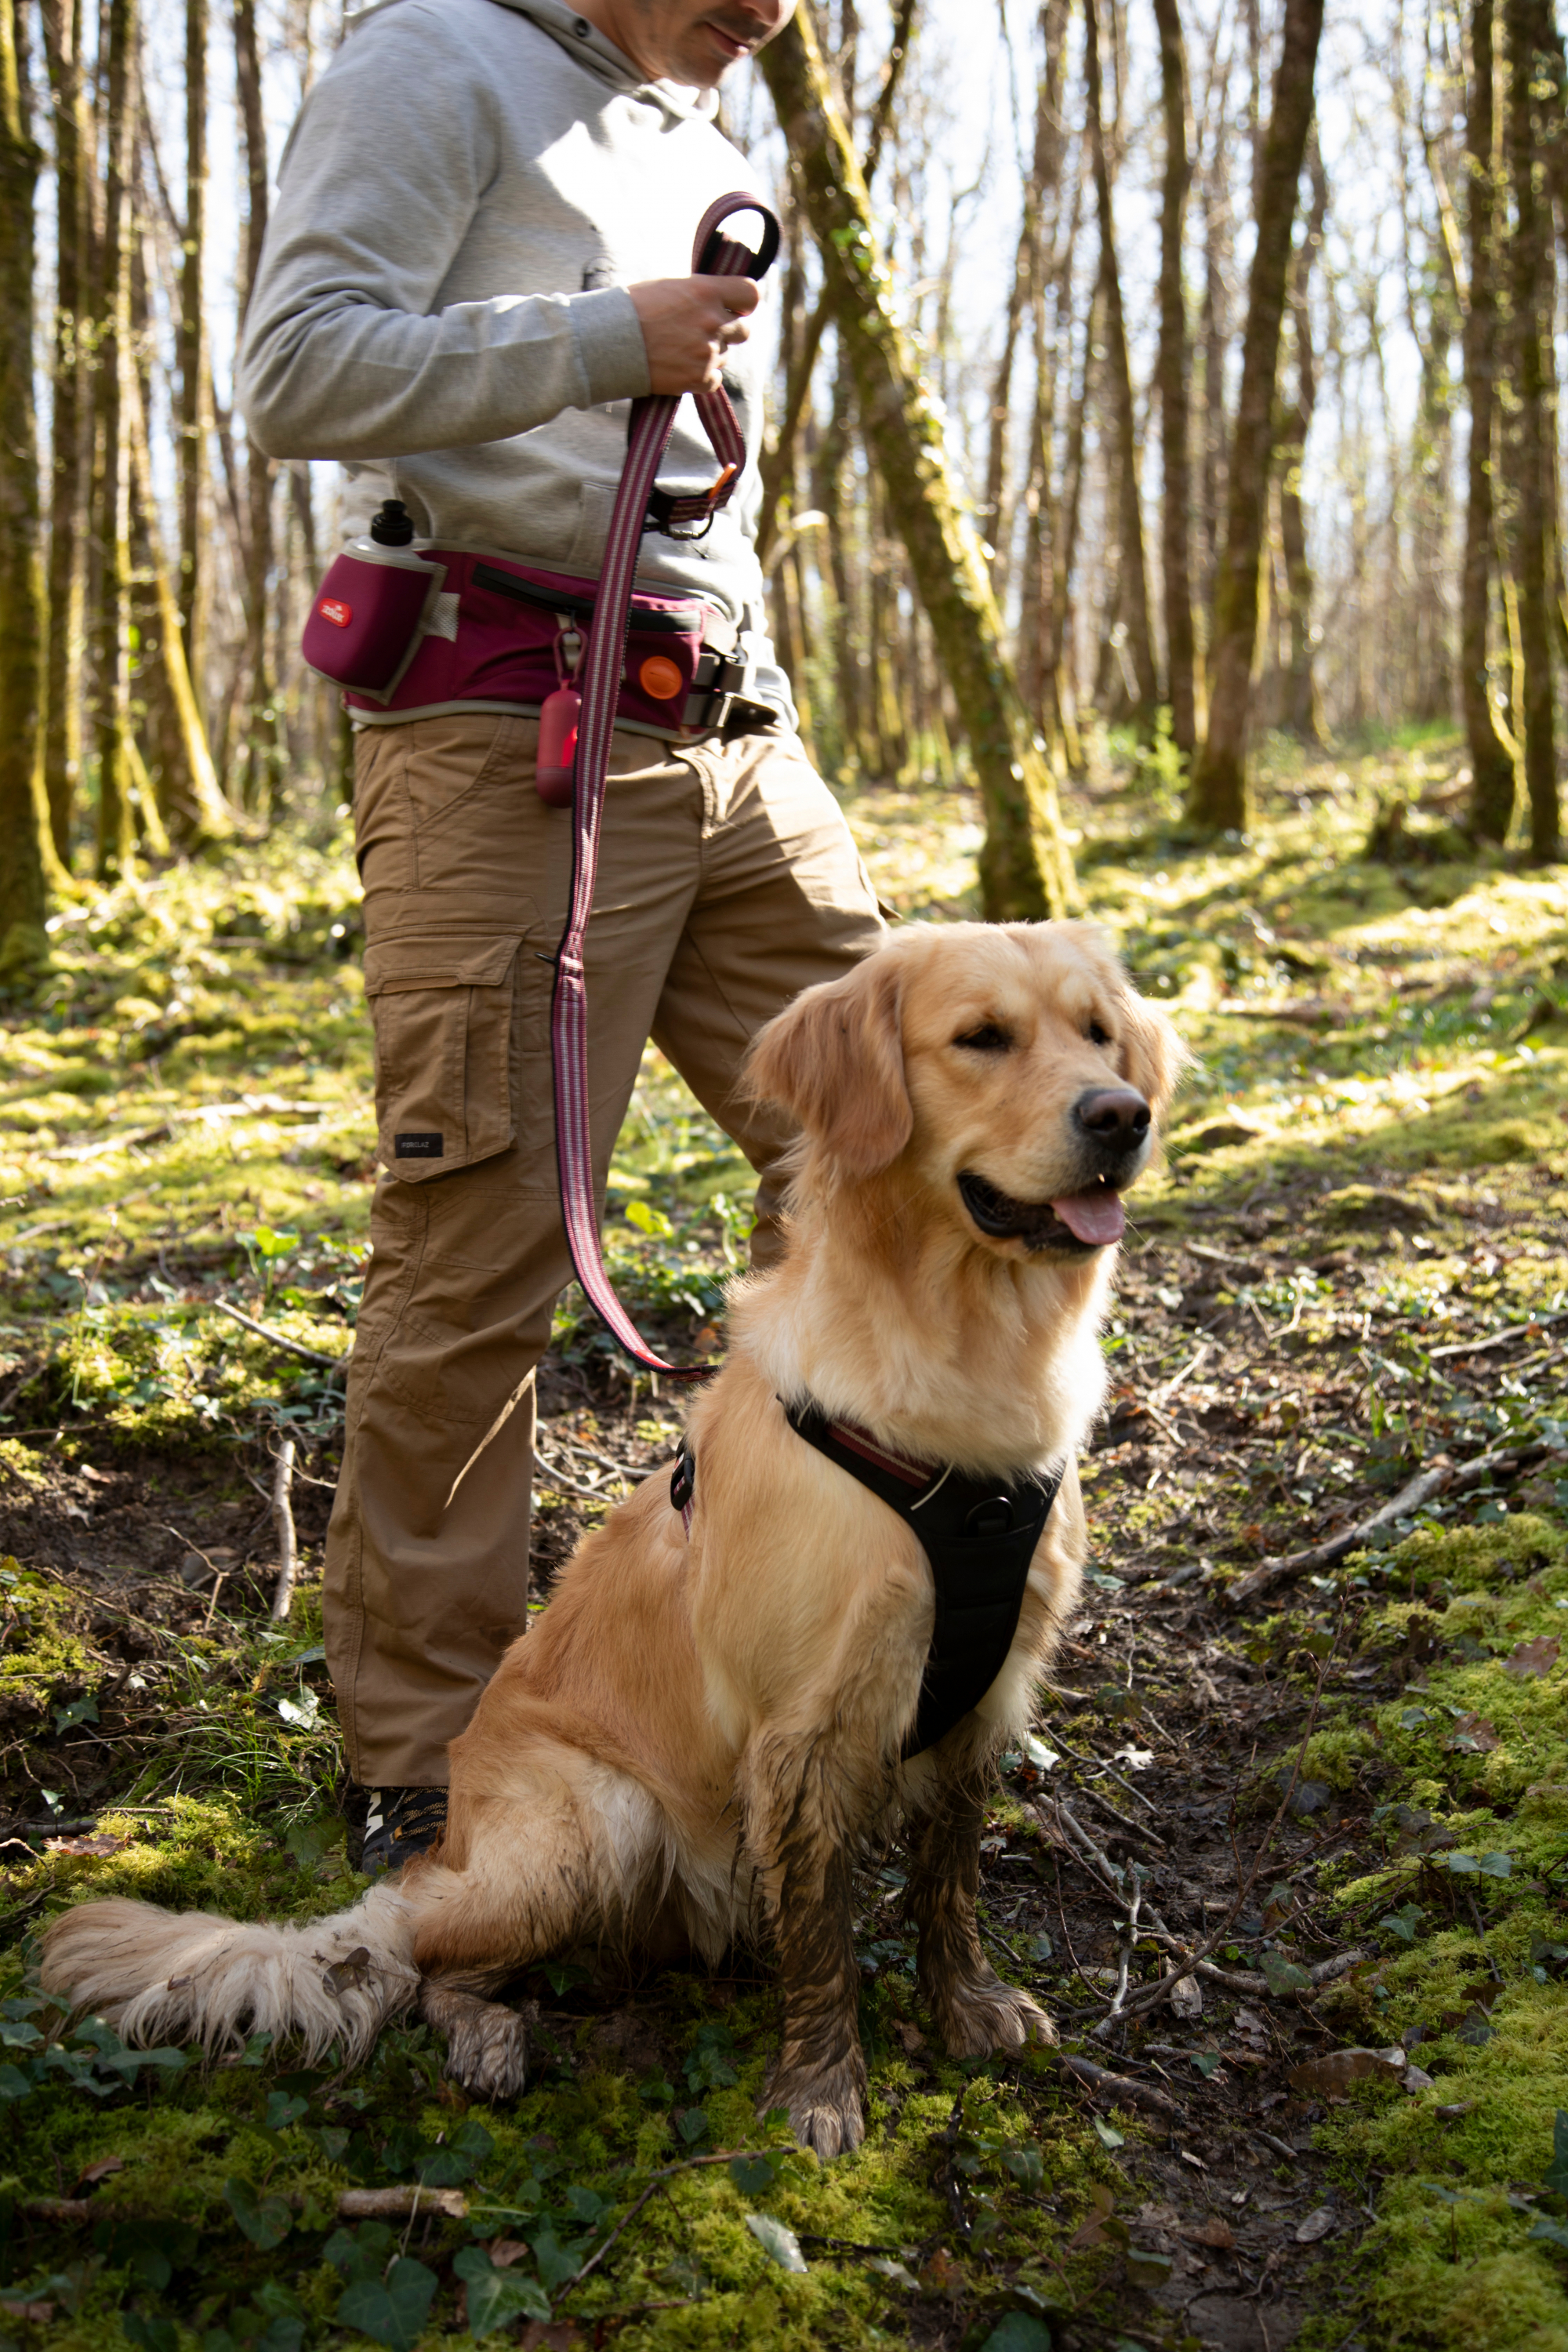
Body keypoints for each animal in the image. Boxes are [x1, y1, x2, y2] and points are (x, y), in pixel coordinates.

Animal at [42, 913, 1185, 2154]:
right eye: (980, 1038)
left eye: (1098, 1033)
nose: (1122, 1115)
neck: (960, 1377)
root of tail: (435, 1859)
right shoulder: (799, 1730)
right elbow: (822, 1942)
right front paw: (820, 2090)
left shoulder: (985, 1698)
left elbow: (948, 1883)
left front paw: (963, 2005)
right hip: (598, 1817)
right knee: (421, 1960)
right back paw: (485, 2035)